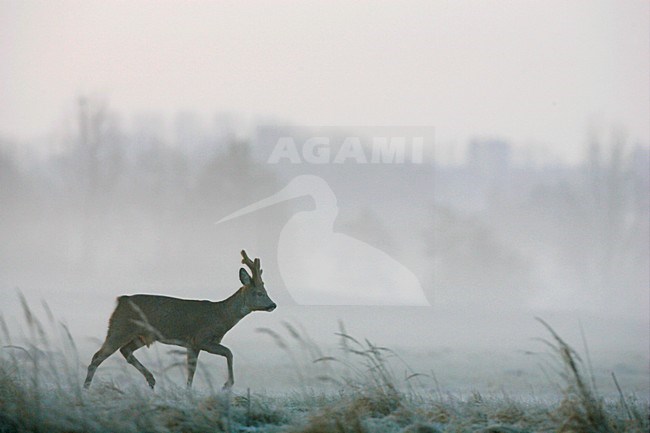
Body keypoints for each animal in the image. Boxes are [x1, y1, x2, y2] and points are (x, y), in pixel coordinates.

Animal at [82, 250, 274, 388]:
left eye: (266, 292)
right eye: (259, 293)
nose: (273, 305)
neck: (221, 315)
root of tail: (120, 300)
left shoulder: (192, 344)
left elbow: (191, 372)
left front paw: (188, 393)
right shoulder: (201, 338)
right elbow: (229, 352)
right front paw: (227, 385)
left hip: (141, 335)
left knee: (125, 351)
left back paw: (151, 380)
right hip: (120, 327)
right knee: (97, 357)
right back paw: (85, 389)